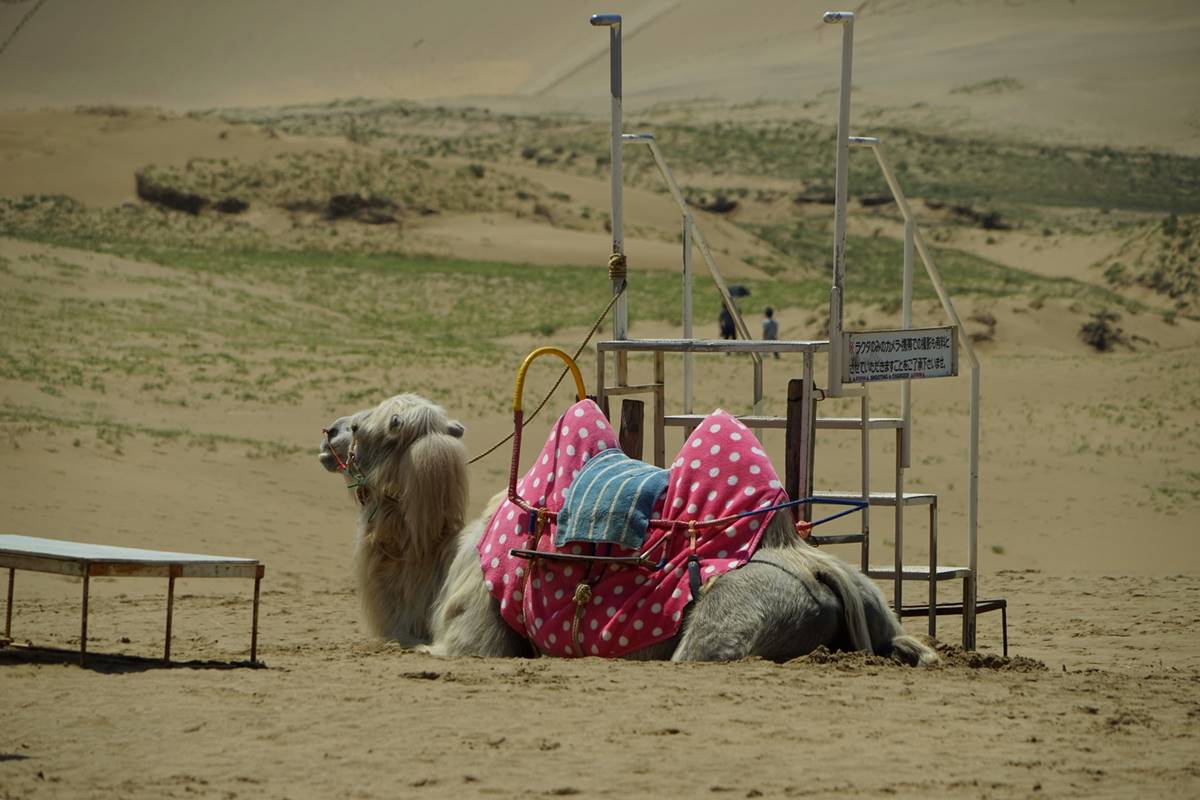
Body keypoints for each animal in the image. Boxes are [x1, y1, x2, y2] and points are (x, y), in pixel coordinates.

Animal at [319, 393, 937, 665]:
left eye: (376, 425)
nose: (329, 430)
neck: (439, 565)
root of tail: (815, 569)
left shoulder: (471, 640)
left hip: (727, 627)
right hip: (876, 608)